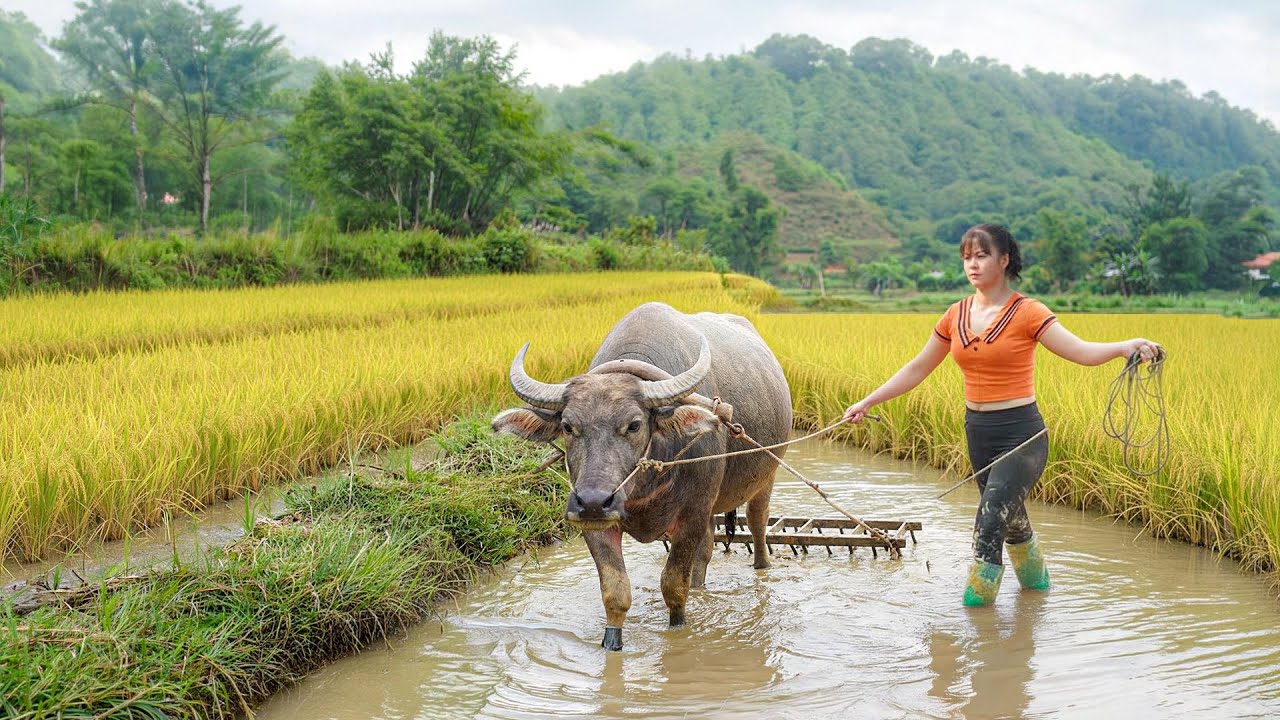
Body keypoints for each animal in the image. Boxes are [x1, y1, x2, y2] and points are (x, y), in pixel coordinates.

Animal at [492, 302, 792, 650]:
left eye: (634, 425)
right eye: (568, 426)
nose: (593, 502)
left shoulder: (691, 514)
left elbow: (673, 585)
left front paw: (679, 628)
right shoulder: (596, 526)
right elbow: (615, 591)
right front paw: (612, 641)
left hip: (766, 476)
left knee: (757, 524)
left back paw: (762, 565)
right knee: (705, 550)